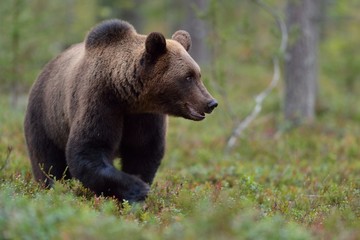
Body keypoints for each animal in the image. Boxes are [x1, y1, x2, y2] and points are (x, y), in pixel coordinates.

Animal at [24, 19, 219, 202]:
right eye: (188, 77)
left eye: (198, 74)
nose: (211, 102)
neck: (126, 96)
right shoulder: (100, 102)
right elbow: (89, 149)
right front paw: (137, 188)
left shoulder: (144, 117)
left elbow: (143, 152)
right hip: (46, 119)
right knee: (47, 162)